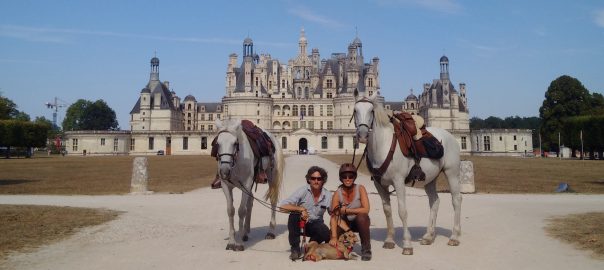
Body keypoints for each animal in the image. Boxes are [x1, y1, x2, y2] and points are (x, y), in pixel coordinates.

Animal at [215, 119, 286, 252]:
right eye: (217, 143)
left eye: (235, 143)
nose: (224, 171)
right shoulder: (225, 185)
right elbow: (230, 210)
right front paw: (232, 241)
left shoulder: (246, 183)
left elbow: (241, 210)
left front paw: (239, 243)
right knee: (251, 200)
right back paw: (246, 232)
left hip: (272, 175)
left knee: (272, 200)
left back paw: (270, 232)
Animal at [354, 91, 462, 255]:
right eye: (355, 110)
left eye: (371, 111)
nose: (362, 135)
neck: (383, 145)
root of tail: (449, 135)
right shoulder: (380, 184)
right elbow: (387, 210)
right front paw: (389, 240)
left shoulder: (398, 181)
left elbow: (402, 211)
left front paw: (407, 244)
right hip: (430, 178)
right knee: (435, 201)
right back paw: (429, 236)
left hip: (452, 173)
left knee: (456, 200)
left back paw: (454, 236)